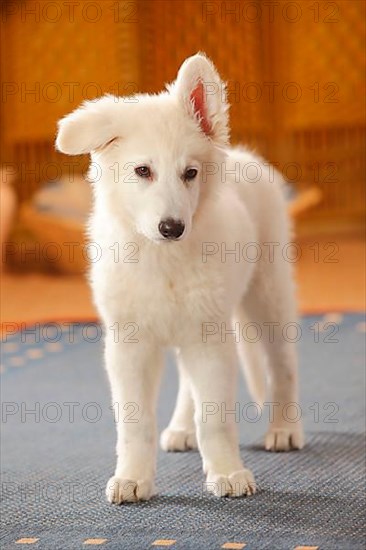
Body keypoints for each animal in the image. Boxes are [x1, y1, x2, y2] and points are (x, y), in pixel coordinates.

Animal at [56, 55, 304, 504]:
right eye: (142, 171)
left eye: (190, 173)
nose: (172, 227)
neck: (163, 258)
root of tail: (241, 155)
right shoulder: (131, 343)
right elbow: (135, 422)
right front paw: (132, 478)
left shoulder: (210, 336)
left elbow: (216, 417)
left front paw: (227, 473)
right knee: (191, 382)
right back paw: (182, 429)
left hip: (268, 292)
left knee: (283, 365)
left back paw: (284, 430)